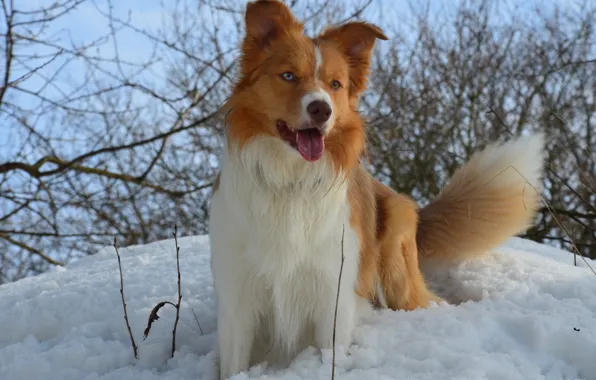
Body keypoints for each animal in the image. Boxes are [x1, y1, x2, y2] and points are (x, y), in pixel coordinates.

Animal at [208, 1, 544, 378]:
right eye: (288, 76)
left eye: (335, 84)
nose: (321, 109)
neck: (290, 180)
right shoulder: (238, 297)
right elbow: (234, 364)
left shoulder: (332, 292)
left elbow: (330, 354)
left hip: (395, 256)